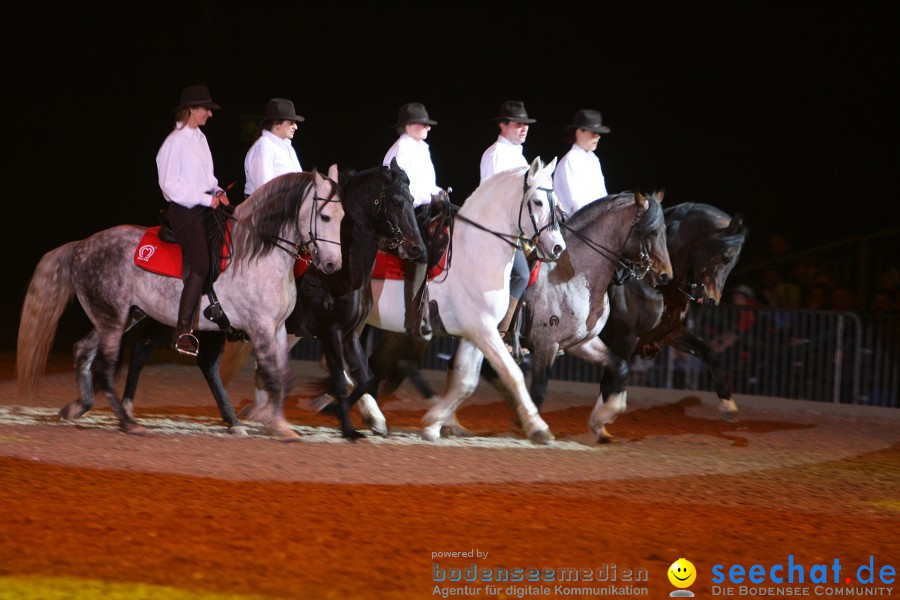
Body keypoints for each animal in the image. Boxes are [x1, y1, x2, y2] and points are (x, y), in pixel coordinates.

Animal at [18, 166, 348, 438]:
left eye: (343, 217)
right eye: (325, 217)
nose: (333, 265)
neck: (259, 253)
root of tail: (81, 246)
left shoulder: (277, 329)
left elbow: (285, 376)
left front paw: (276, 423)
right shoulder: (261, 328)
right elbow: (274, 376)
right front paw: (277, 425)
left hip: (122, 316)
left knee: (83, 350)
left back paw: (77, 407)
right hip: (112, 317)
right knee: (105, 367)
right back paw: (128, 423)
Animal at [110, 162, 428, 438]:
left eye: (412, 199)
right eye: (396, 201)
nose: (417, 249)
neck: (341, 274)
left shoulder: (349, 334)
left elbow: (365, 378)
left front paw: (369, 418)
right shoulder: (329, 331)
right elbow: (340, 377)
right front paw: (344, 423)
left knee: (196, 362)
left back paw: (231, 420)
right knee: (146, 350)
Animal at [364, 157, 568, 442]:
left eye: (556, 202)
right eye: (538, 202)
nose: (558, 247)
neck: (475, 250)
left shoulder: (475, 333)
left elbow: (466, 382)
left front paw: (433, 423)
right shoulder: (482, 328)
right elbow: (512, 374)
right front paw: (538, 427)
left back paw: (372, 415)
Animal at [596, 202, 744, 422]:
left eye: (733, 263)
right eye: (725, 257)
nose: (711, 300)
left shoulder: (667, 332)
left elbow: (708, 352)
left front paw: (728, 404)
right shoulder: (625, 340)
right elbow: (612, 379)